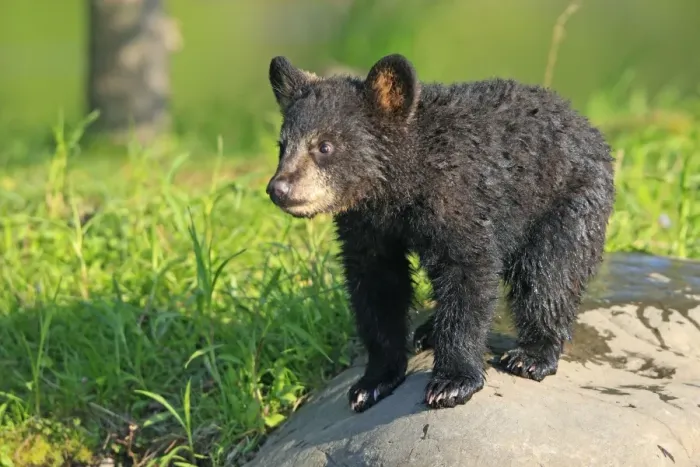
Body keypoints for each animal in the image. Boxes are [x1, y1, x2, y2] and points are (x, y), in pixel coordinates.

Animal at [265, 53, 615, 412]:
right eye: (282, 146)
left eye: (324, 146)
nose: (279, 189)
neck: (403, 187)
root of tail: (588, 127)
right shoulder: (367, 225)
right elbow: (377, 288)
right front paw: (372, 382)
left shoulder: (459, 199)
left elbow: (468, 272)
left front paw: (452, 382)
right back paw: (429, 330)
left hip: (568, 201)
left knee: (549, 273)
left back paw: (532, 355)